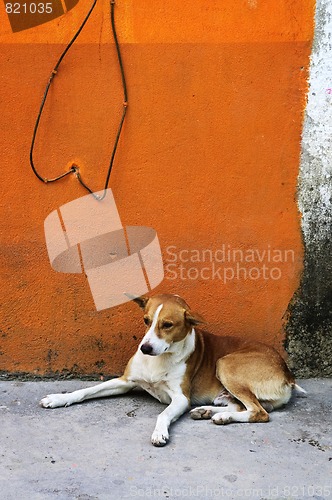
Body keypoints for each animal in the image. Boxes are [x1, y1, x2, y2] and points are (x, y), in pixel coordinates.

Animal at [39, 292, 306, 446]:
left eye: (167, 325)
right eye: (146, 321)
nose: (145, 348)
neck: (158, 359)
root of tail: (287, 373)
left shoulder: (180, 398)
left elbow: (163, 414)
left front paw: (160, 433)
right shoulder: (125, 381)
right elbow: (85, 391)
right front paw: (57, 398)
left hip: (226, 363)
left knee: (259, 412)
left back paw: (221, 416)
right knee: (243, 406)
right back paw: (210, 412)